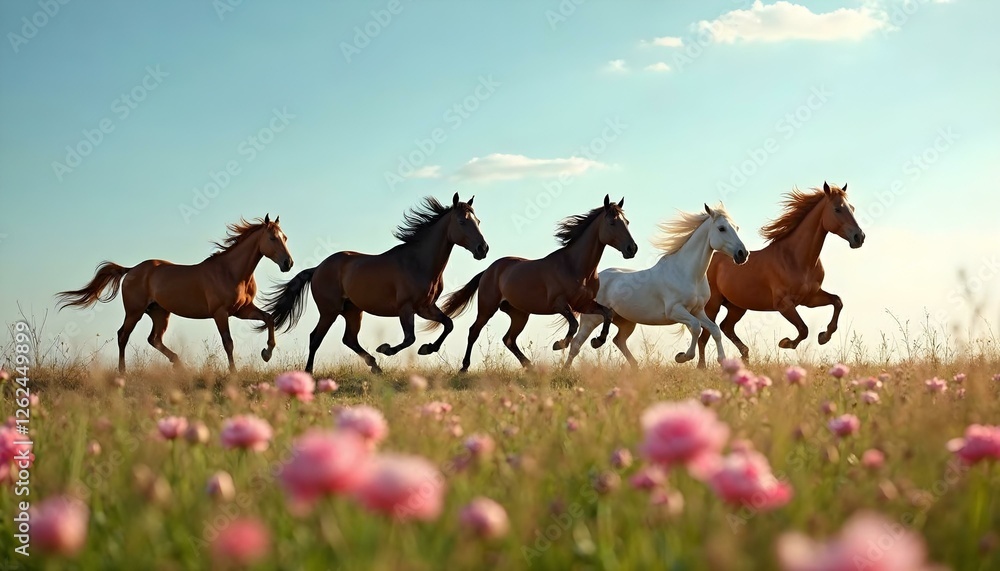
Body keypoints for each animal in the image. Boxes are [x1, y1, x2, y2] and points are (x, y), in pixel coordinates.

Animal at [56, 215, 294, 373]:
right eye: (272, 238)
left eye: (285, 237)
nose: (288, 263)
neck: (232, 272)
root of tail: (131, 270)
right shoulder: (221, 313)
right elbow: (229, 343)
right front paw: (234, 373)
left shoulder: (242, 310)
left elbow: (269, 318)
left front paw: (266, 354)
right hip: (134, 312)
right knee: (123, 335)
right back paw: (123, 373)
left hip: (159, 313)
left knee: (154, 339)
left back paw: (180, 364)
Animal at [262, 193, 487, 374]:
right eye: (461, 221)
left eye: (478, 220)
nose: (482, 248)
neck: (418, 262)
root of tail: (318, 268)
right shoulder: (406, 308)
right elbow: (410, 338)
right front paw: (386, 349)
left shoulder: (426, 307)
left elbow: (448, 324)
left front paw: (427, 348)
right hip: (329, 311)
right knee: (315, 338)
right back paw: (309, 372)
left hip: (353, 311)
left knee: (349, 339)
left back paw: (375, 366)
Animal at [439, 194, 638, 372]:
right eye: (612, 223)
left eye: (627, 222)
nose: (632, 248)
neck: (575, 267)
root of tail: (489, 270)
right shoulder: (560, 304)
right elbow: (573, 324)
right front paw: (559, 344)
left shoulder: (585, 304)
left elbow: (607, 314)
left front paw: (597, 341)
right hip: (488, 307)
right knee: (475, 331)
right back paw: (464, 368)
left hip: (519, 314)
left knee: (508, 339)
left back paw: (530, 366)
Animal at [564, 203, 749, 369]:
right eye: (721, 228)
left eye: (737, 227)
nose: (743, 254)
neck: (687, 273)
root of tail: (594, 279)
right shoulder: (675, 311)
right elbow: (696, 328)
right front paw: (681, 357)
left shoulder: (698, 311)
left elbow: (714, 330)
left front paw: (722, 361)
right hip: (591, 319)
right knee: (576, 344)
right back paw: (566, 370)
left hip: (626, 322)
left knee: (619, 340)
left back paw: (635, 367)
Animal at [696, 182, 865, 367]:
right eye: (837, 209)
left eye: (852, 208)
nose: (859, 237)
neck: (797, 259)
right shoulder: (783, 304)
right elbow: (803, 329)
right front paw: (786, 343)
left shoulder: (810, 299)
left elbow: (837, 301)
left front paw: (823, 337)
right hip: (712, 305)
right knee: (704, 337)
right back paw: (702, 367)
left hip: (737, 306)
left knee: (726, 327)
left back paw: (745, 356)